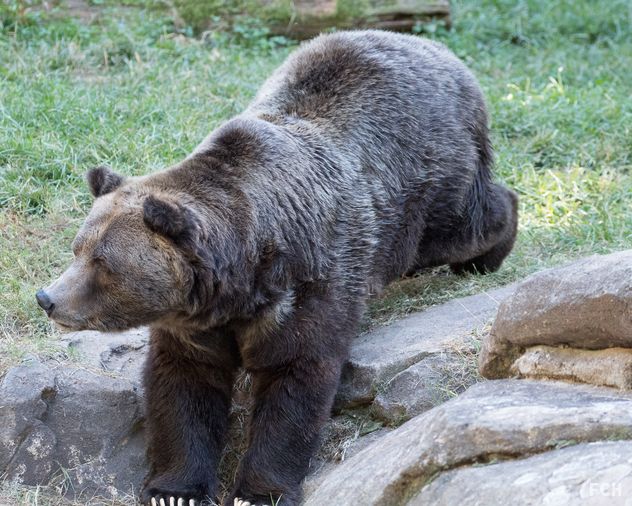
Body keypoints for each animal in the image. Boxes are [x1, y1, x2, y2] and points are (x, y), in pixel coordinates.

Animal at [35, 30, 520, 506]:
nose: (48, 298)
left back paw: (489, 249)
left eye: (104, 263)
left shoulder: (310, 279)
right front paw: (175, 491)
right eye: (78, 249)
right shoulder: (195, 320)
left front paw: (258, 493)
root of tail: (441, 53)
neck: (241, 281)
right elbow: (185, 382)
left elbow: (295, 374)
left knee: (465, 223)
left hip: (426, 184)